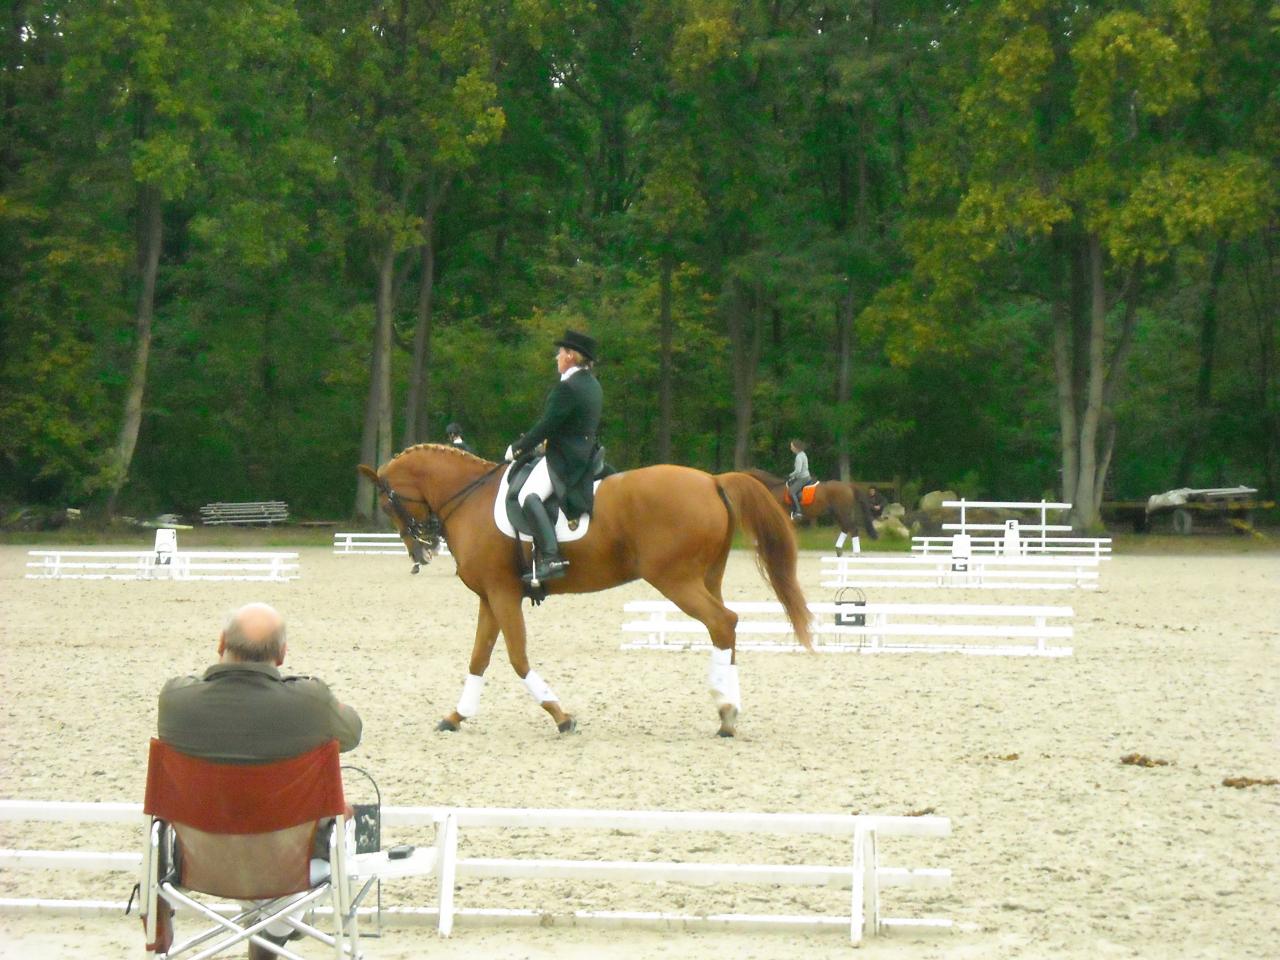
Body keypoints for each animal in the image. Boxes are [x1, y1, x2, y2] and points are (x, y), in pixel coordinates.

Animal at [358, 448, 808, 742]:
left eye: (388, 502)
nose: (421, 551)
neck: (470, 498)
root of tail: (713, 480)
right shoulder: (490, 596)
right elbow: (479, 658)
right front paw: (456, 716)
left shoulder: (503, 593)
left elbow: (517, 658)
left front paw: (561, 716)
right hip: (705, 577)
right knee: (725, 627)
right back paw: (727, 710)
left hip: (676, 581)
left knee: (723, 623)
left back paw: (727, 713)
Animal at [742, 468, 880, 555]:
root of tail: (848, 486)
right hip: (838, 514)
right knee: (846, 528)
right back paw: (838, 549)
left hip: (843, 512)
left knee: (853, 529)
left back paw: (855, 553)